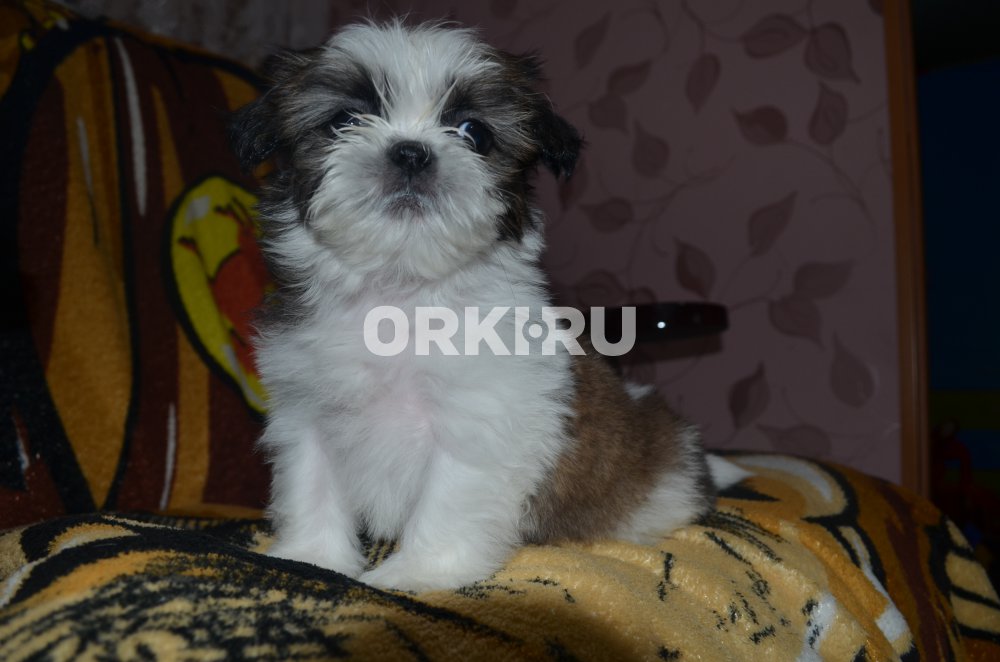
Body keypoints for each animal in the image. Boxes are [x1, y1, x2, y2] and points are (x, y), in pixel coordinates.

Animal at [230, 19, 743, 592]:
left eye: (474, 132)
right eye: (344, 120)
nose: (411, 152)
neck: (399, 293)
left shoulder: (477, 419)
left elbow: (447, 500)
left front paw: (417, 573)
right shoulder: (305, 411)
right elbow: (312, 484)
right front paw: (311, 557)